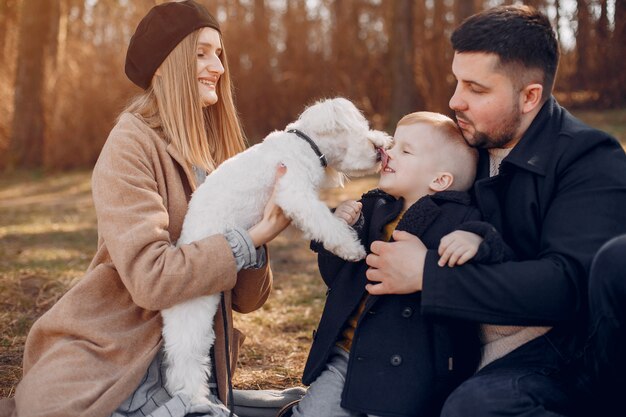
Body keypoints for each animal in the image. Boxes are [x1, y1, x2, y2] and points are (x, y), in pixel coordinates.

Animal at [163, 96, 392, 404]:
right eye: (353, 131)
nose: (380, 147)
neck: (304, 145)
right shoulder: (295, 195)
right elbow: (326, 224)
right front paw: (351, 248)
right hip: (193, 312)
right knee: (185, 359)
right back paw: (195, 398)